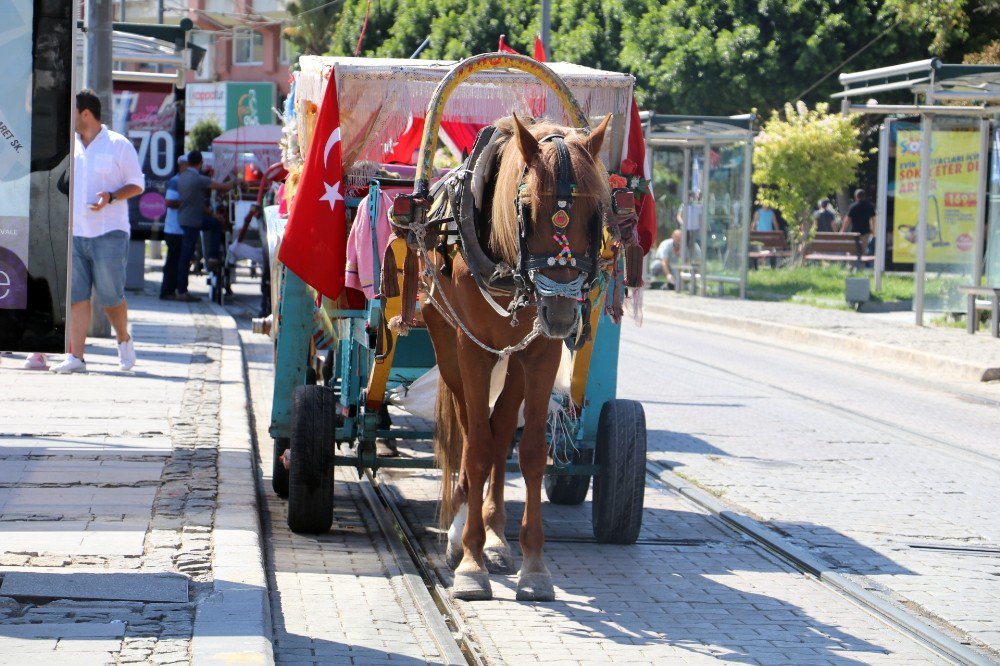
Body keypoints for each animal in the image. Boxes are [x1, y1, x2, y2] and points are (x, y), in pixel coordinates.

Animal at [420, 111, 608, 600]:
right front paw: (470, 562)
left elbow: (532, 452)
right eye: (526, 209)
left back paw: (496, 537)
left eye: (596, 213)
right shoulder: (471, 349)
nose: (560, 312)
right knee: (470, 430)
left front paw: (533, 566)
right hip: (447, 345)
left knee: (502, 427)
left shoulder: (541, 354)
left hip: (517, 360)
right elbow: (477, 447)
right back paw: (461, 530)